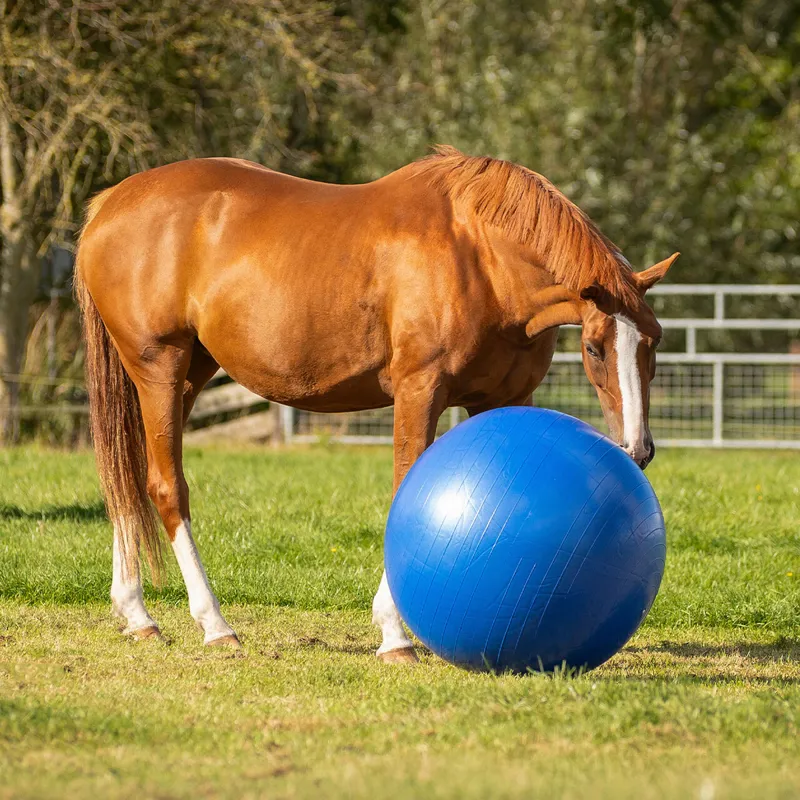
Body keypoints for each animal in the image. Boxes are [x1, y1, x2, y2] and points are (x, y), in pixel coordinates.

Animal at [74, 146, 678, 663]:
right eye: (595, 347)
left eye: (655, 341)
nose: (636, 449)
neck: (480, 258)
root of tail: (112, 204)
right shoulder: (419, 391)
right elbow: (403, 485)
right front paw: (394, 635)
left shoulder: (502, 400)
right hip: (160, 367)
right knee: (165, 486)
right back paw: (214, 625)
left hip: (189, 374)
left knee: (128, 478)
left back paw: (137, 615)